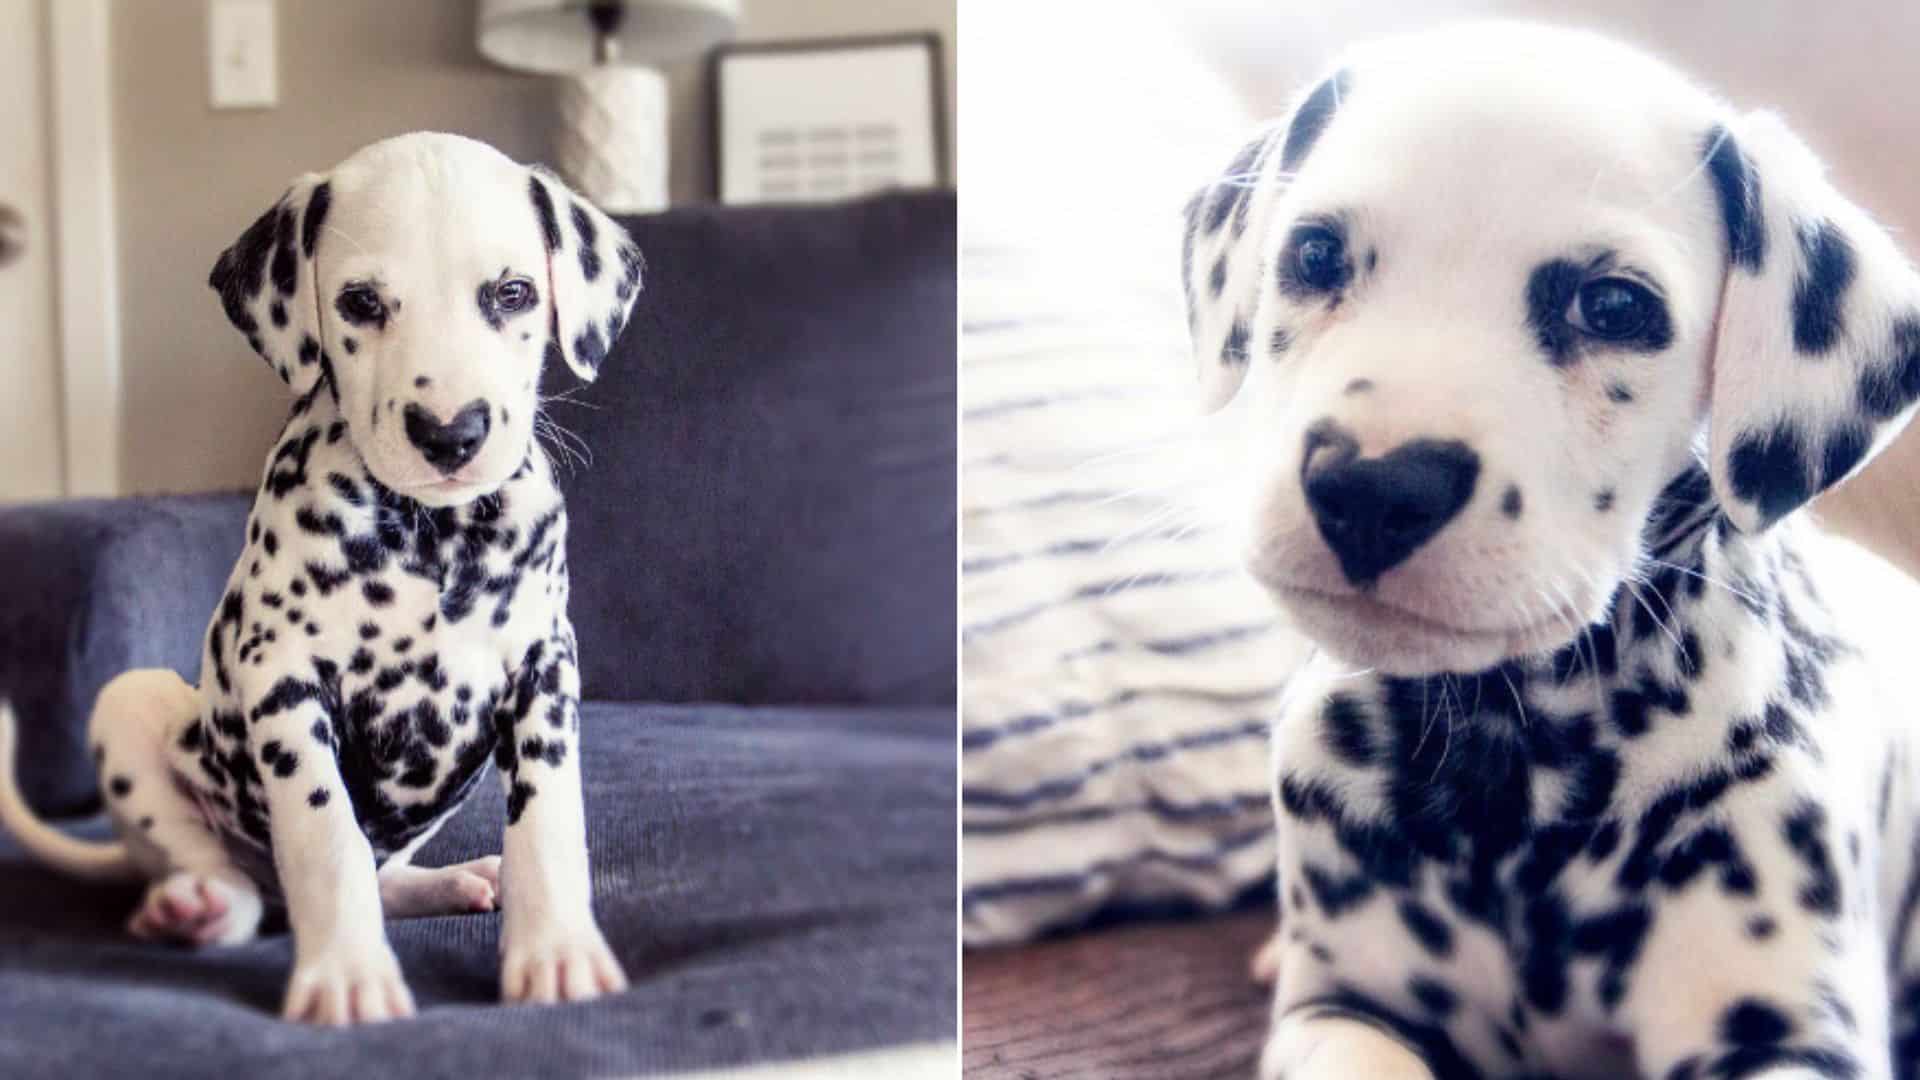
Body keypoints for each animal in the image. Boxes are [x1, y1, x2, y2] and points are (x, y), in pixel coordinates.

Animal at [0, 132, 645, 1014]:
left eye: (513, 292)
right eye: (362, 303)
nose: (450, 433)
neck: (431, 536)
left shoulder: (545, 667)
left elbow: (549, 822)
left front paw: (557, 951)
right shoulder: (285, 683)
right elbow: (324, 836)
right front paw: (346, 975)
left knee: (387, 873)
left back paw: (454, 880)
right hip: (132, 703)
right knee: (223, 872)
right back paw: (197, 906)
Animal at [1175, 23, 1920, 1076]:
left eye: (1611, 307)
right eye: (1314, 253)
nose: (1372, 488)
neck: (1513, 759)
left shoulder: (1790, 1036)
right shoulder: (1341, 1011)